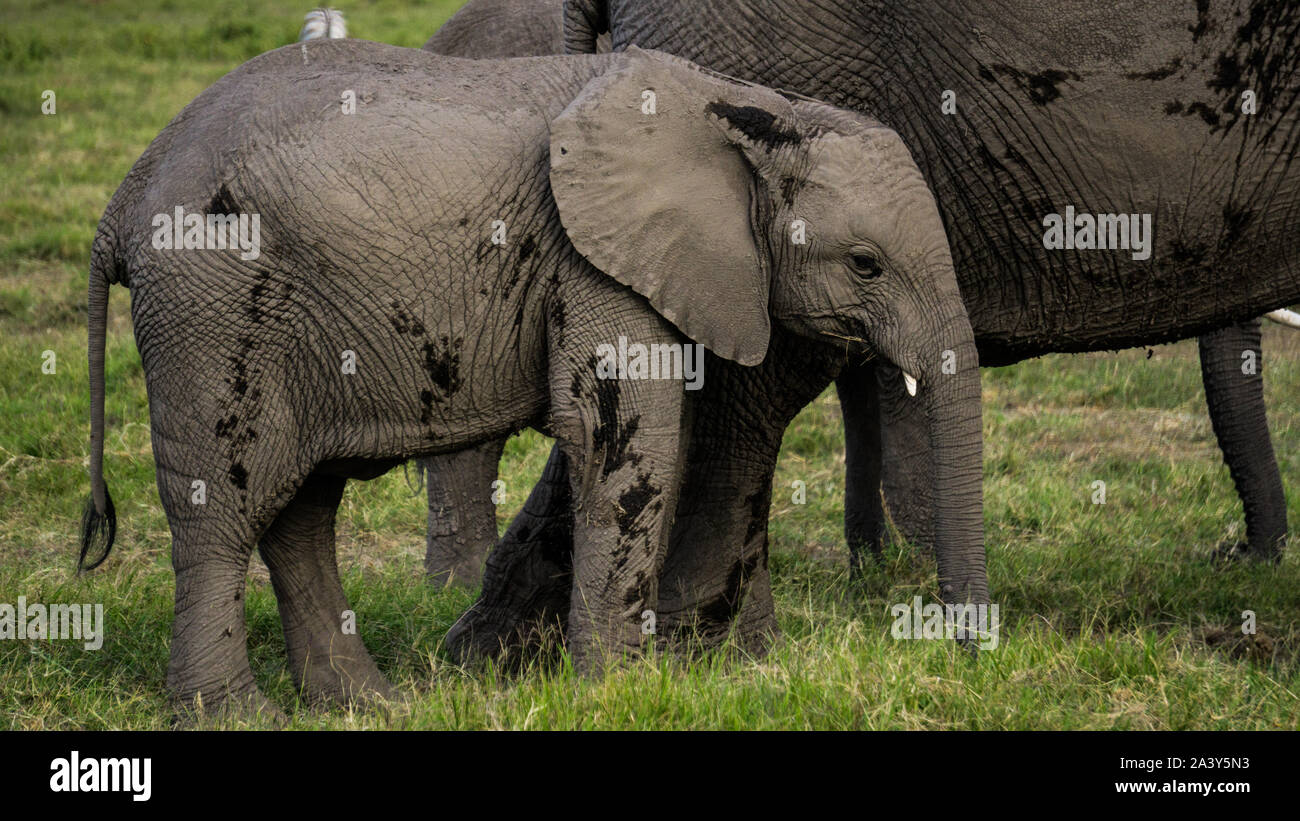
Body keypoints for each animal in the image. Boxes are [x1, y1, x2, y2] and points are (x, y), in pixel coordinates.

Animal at [81, 41, 977, 717]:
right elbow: (629, 441)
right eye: (864, 264)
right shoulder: (594, 260)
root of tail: (124, 197)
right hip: (211, 307)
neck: (745, 108)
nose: (967, 647)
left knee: (301, 508)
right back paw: (237, 715)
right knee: (223, 508)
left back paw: (370, 705)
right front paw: (617, 694)